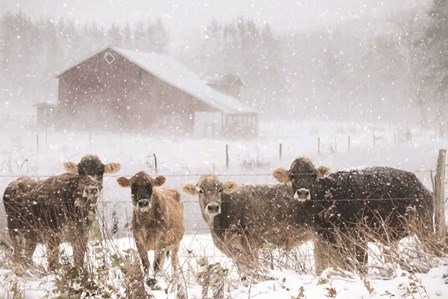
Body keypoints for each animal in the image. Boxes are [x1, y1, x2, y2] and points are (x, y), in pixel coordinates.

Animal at [272, 157, 434, 274]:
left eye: (313, 175)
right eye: (292, 176)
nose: (303, 192)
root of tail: (421, 187)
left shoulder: (359, 237)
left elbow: (361, 266)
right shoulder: (329, 239)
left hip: (425, 229)